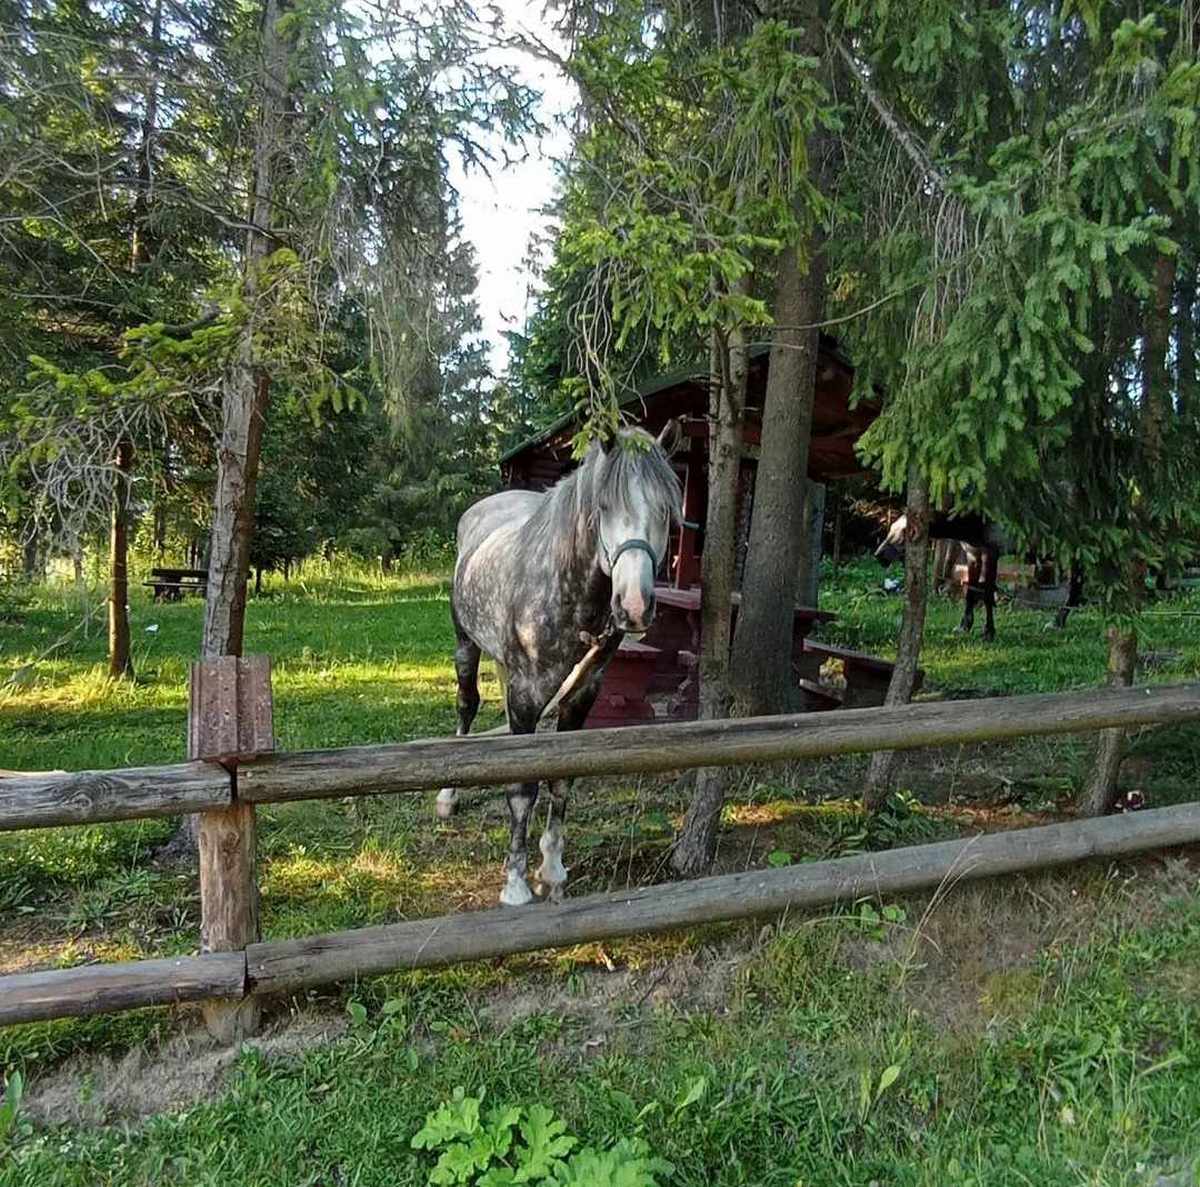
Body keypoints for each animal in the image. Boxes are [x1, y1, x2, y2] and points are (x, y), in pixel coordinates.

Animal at [441, 427, 686, 907]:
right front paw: (515, 884)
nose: (634, 606)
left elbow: (562, 778)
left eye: (666, 510)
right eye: (604, 506)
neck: (567, 596)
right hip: (466, 645)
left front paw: (552, 870)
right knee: (466, 705)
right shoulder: (525, 693)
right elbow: (522, 790)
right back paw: (448, 795)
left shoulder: (580, 694)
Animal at [878, 508, 1084, 638]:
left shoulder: (991, 552)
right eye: (891, 529)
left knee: (1077, 580)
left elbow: (987, 595)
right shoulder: (973, 554)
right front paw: (964, 626)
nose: (879, 555)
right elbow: (971, 592)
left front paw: (988, 632)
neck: (972, 523)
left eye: (905, 532)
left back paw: (1058, 620)